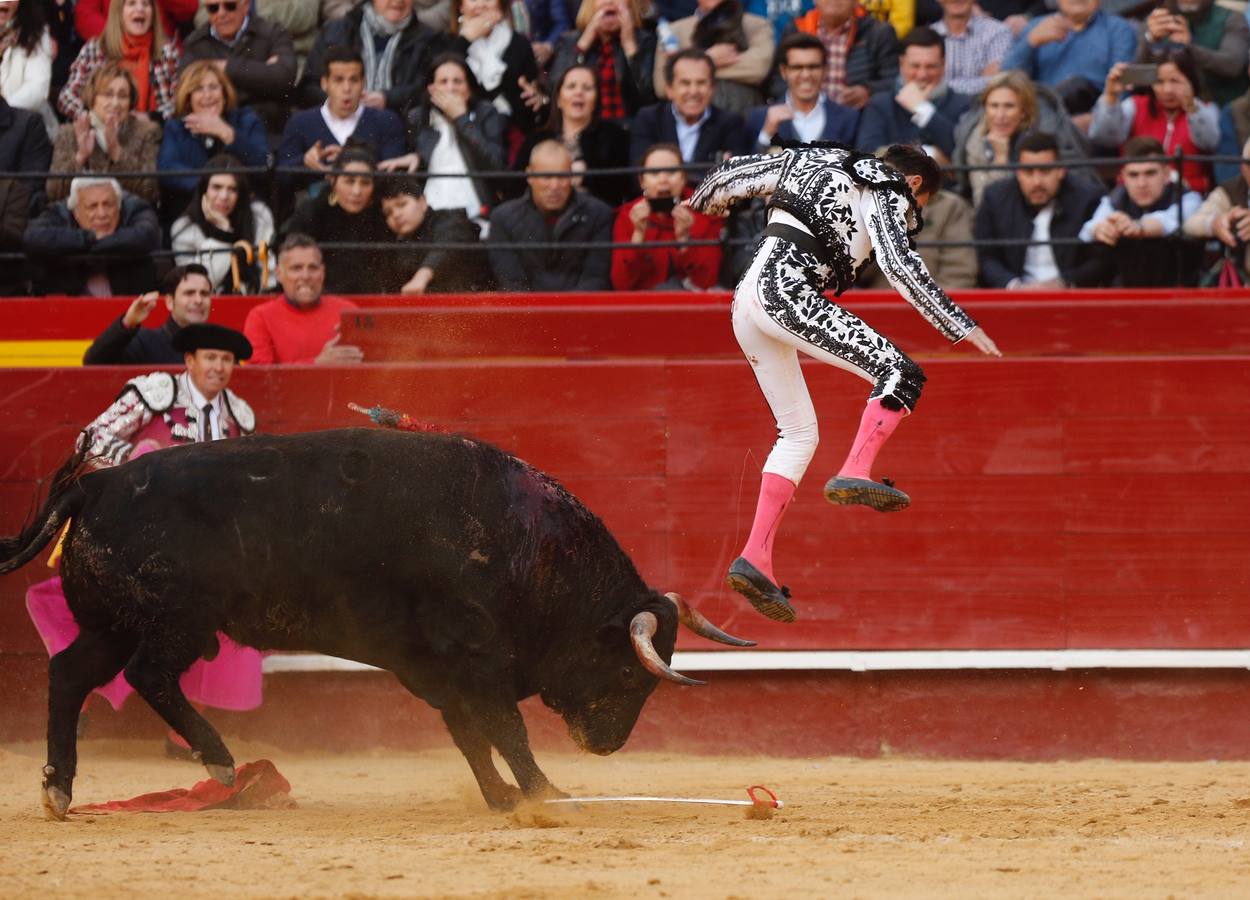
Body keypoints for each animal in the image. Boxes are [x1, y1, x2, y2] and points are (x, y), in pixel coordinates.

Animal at [0, 430, 750, 815]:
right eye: (628, 673)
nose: (608, 745)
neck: (530, 548)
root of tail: (96, 483)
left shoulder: (440, 671)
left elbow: (470, 736)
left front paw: (502, 798)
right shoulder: (476, 659)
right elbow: (503, 730)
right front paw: (543, 794)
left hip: (111, 622)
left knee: (70, 674)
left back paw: (58, 788)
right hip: (176, 621)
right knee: (148, 676)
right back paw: (219, 762)